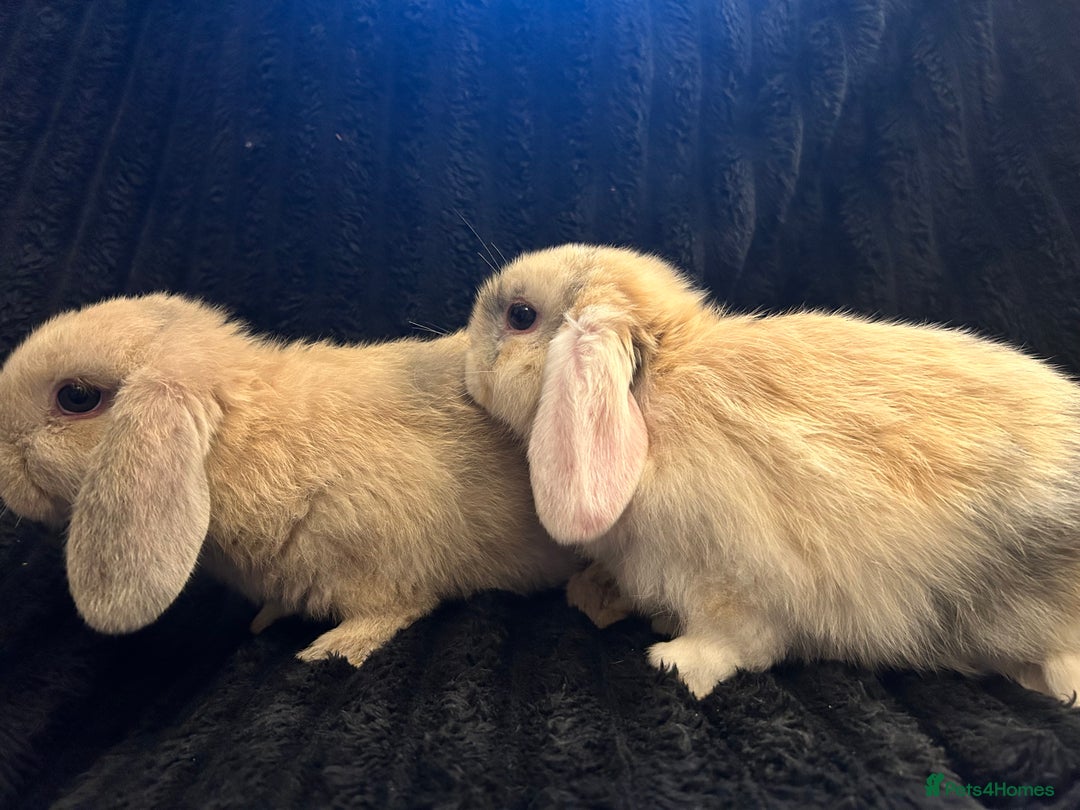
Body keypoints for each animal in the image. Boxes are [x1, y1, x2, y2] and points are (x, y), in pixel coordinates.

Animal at [0, 293, 582, 665]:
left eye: (77, 397)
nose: (4, 475)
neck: (241, 442)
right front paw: (266, 619)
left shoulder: (386, 560)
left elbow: (394, 609)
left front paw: (331, 650)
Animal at [464, 242, 1080, 702]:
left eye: (521, 316)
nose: (467, 368)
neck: (655, 389)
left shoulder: (740, 584)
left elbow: (739, 643)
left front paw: (674, 661)